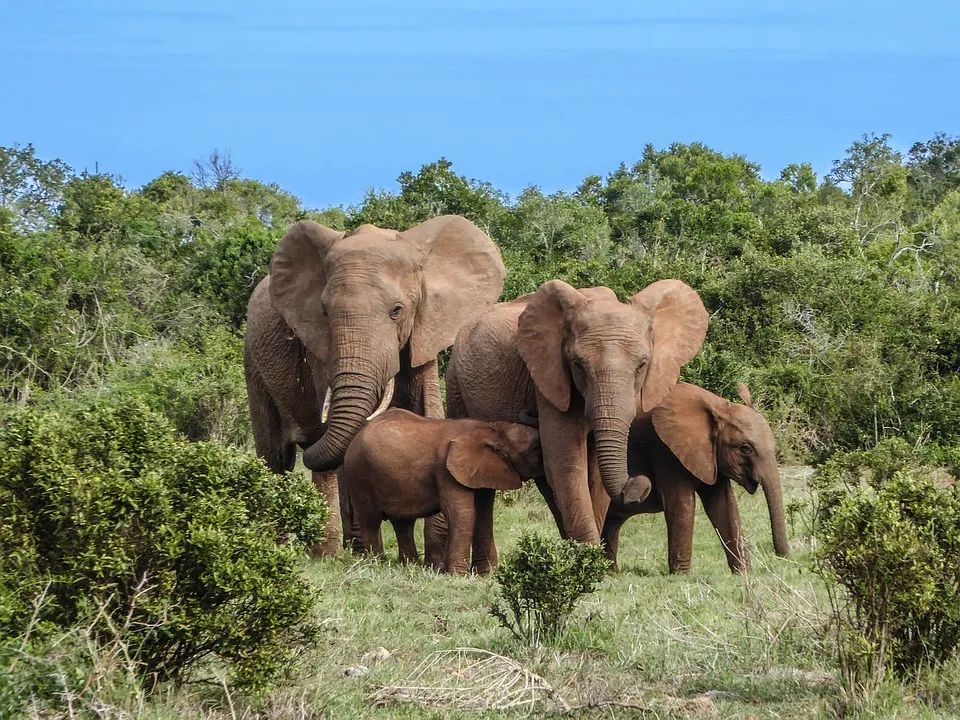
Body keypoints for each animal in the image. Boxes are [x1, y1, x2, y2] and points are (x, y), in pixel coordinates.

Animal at [244, 215, 506, 556]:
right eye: (325, 313)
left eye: (397, 311)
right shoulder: (319, 348)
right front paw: (363, 550)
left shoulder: (425, 330)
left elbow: (429, 410)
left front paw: (435, 555)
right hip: (253, 359)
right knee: (276, 456)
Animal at [342, 410, 544, 572]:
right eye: (535, 448)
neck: (491, 427)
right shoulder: (445, 469)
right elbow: (462, 513)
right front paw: (458, 575)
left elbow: (484, 514)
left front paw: (487, 574)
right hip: (358, 473)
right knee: (370, 521)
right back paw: (376, 563)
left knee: (403, 523)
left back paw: (410, 566)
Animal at [446, 278, 708, 544]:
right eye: (578, 365)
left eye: (641, 365)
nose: (639, 483)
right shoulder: (550, 379)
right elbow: (567, 463)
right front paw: (588, 552)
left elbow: (594, 475)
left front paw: (589, 552)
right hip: (455, 382)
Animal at [604, 382, 792, 572]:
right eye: (745, 449)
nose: (781, 556)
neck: (719, 406)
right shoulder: (664, 451)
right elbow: (681, 506)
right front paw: (680, 576)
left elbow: (724, 505)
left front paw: (743, 573)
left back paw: (612, 571)